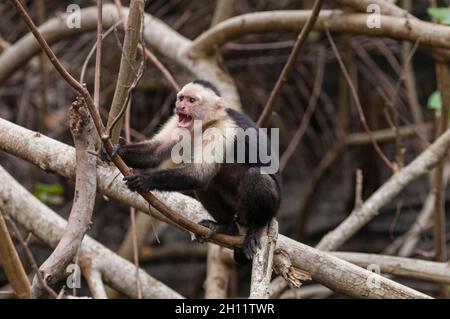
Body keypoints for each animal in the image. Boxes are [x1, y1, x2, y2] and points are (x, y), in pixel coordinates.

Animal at [102, 80, 282, 262]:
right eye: (181, 98)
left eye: (191, 100)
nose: (179, 106)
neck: (206, 123)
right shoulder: (178, 122)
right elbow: (155, 151)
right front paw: (115, 151)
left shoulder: (222, 130)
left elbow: (199, 175)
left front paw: (144, 180)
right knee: (209, 186)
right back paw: (227, 227)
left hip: (271, 207)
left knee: (256, 176)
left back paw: (256, 228)